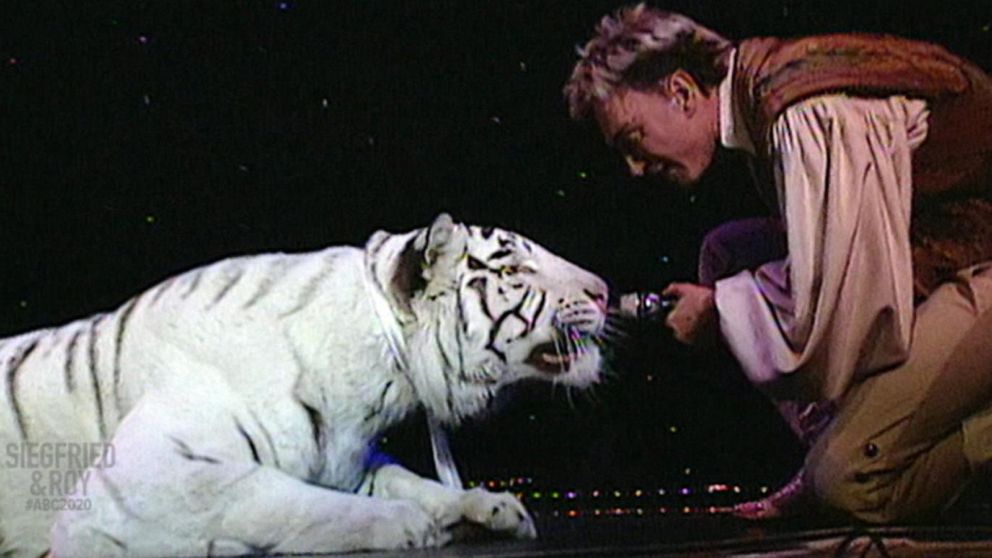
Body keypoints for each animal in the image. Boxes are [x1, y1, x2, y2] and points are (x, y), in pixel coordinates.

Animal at [0, 213, 608, 556]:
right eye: (516, 271)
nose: (603, 290)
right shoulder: (143, 480)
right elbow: (284, 499)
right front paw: (407, 524)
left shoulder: (349, 457)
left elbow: (408, 479)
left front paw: (484, 507)